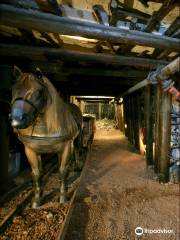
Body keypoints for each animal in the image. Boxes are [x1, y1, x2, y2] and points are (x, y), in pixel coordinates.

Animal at [10, 66, 82, 208]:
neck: (46, 129)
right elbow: (37, 173)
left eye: (38, 91)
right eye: (13, 90)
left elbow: (63, 170)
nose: (16, 121)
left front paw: (63, 196)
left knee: (76, 151)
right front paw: (37, 200)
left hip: (75, 141)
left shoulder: (67, 147)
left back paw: (76, 166)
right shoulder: (31, 151)